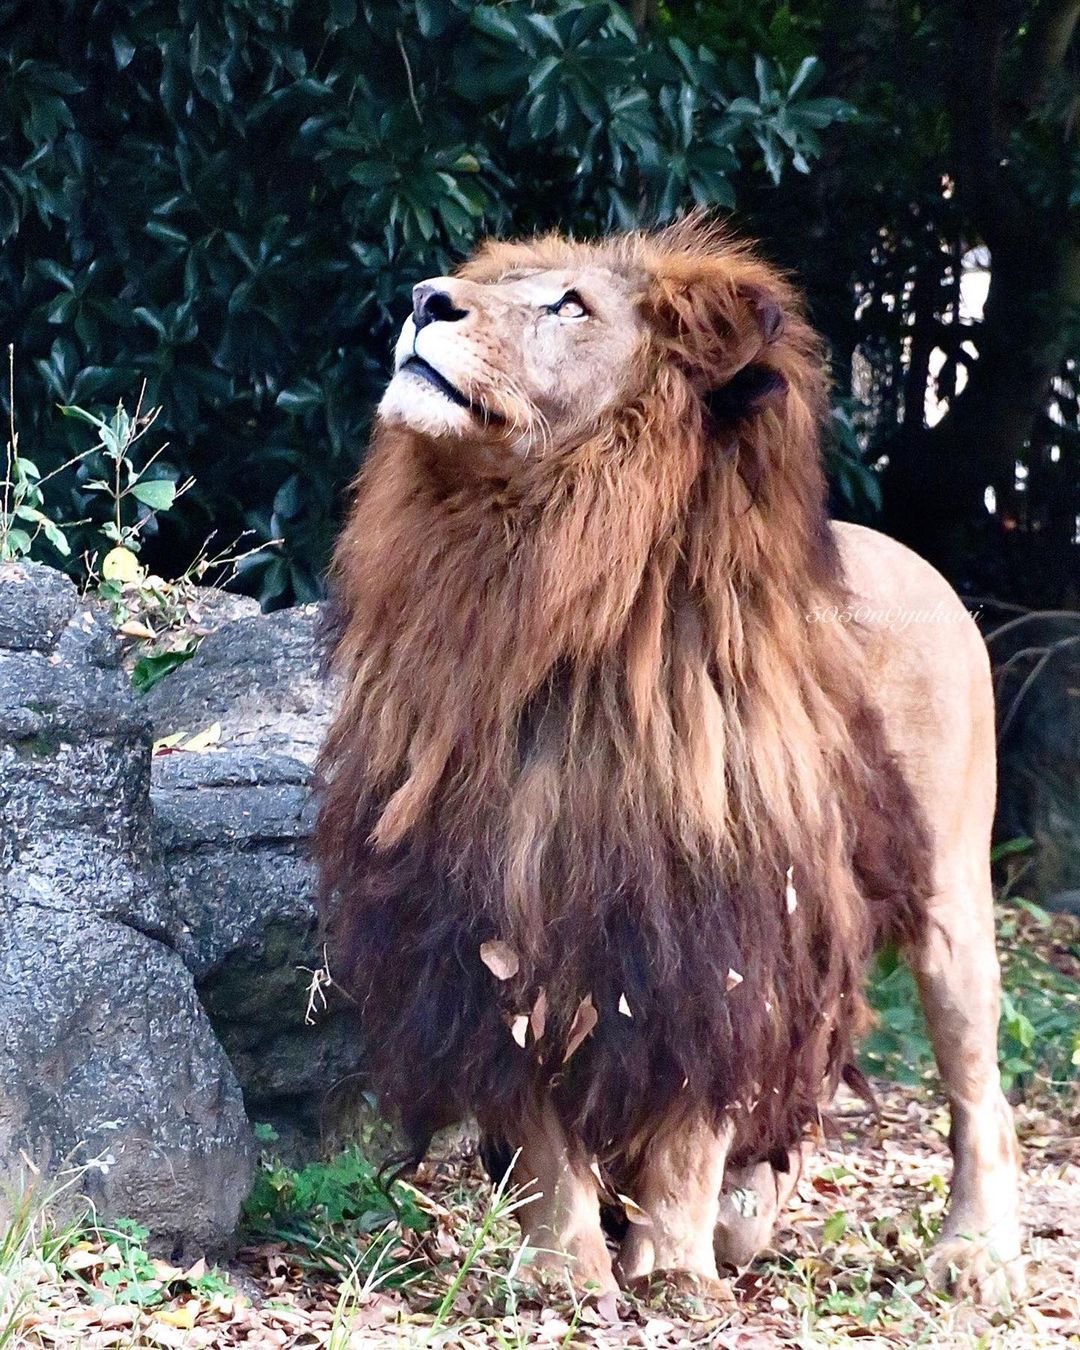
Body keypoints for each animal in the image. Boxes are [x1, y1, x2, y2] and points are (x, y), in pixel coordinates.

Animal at [315, 221, 1026, 1306]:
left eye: (569, 306)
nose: (426, 297)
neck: (527, 578)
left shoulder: (717, 918)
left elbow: (694, 1117)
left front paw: (672, 1272)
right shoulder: (501, 905)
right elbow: (541, 1126)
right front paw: (563, 1273)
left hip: (952, 900)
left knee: (978, 1091)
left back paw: (968, 1253)